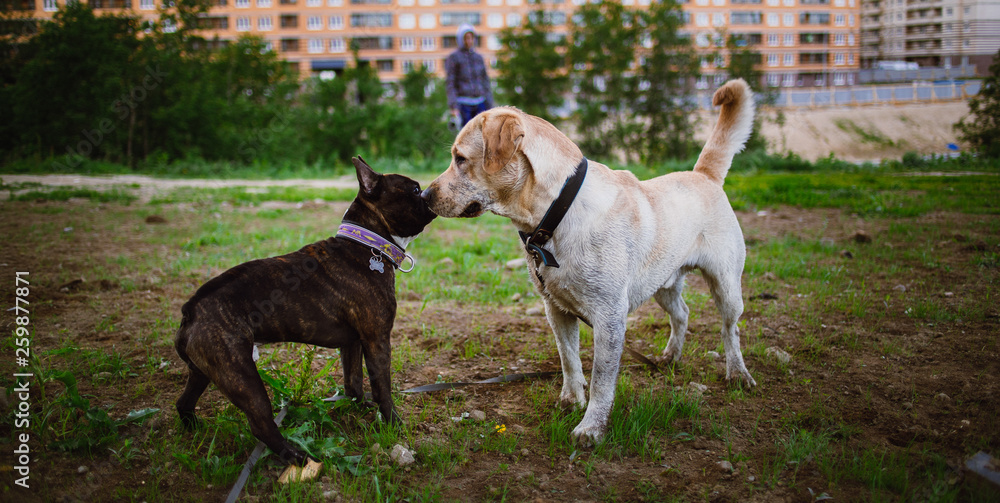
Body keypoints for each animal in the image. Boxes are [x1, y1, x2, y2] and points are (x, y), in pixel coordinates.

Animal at [422, 79, 756, 444]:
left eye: (460, 159)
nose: (423, 196)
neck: (555, 215)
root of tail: (704, 175)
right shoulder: (556, 310)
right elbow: (569, 360)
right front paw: (570, 400)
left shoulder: (610, 316)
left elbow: (601, 379)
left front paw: (591, 427)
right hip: (663, 283)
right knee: (682, 314)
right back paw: (670, 357)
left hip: (726, 285)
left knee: (730, 330)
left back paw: (738, 373)